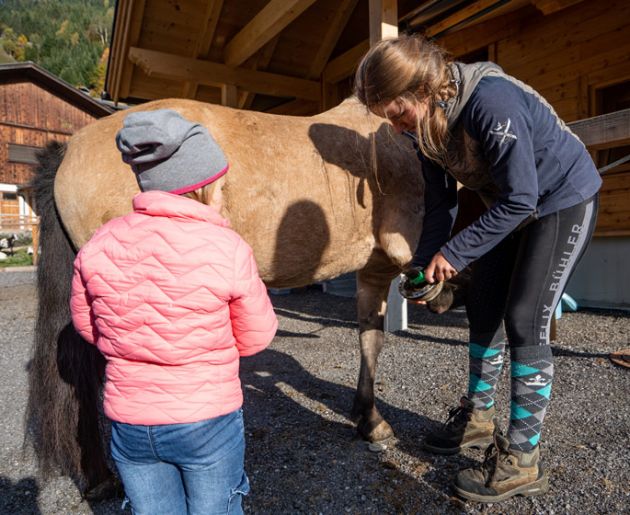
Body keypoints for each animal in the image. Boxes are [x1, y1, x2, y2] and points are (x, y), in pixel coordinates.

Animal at [25, 98, 464, 496]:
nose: (442, 299)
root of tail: (71, 148)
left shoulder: (374, 271)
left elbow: (370, 342)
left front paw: (368, 419)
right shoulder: (403, 251)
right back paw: (102, 476)